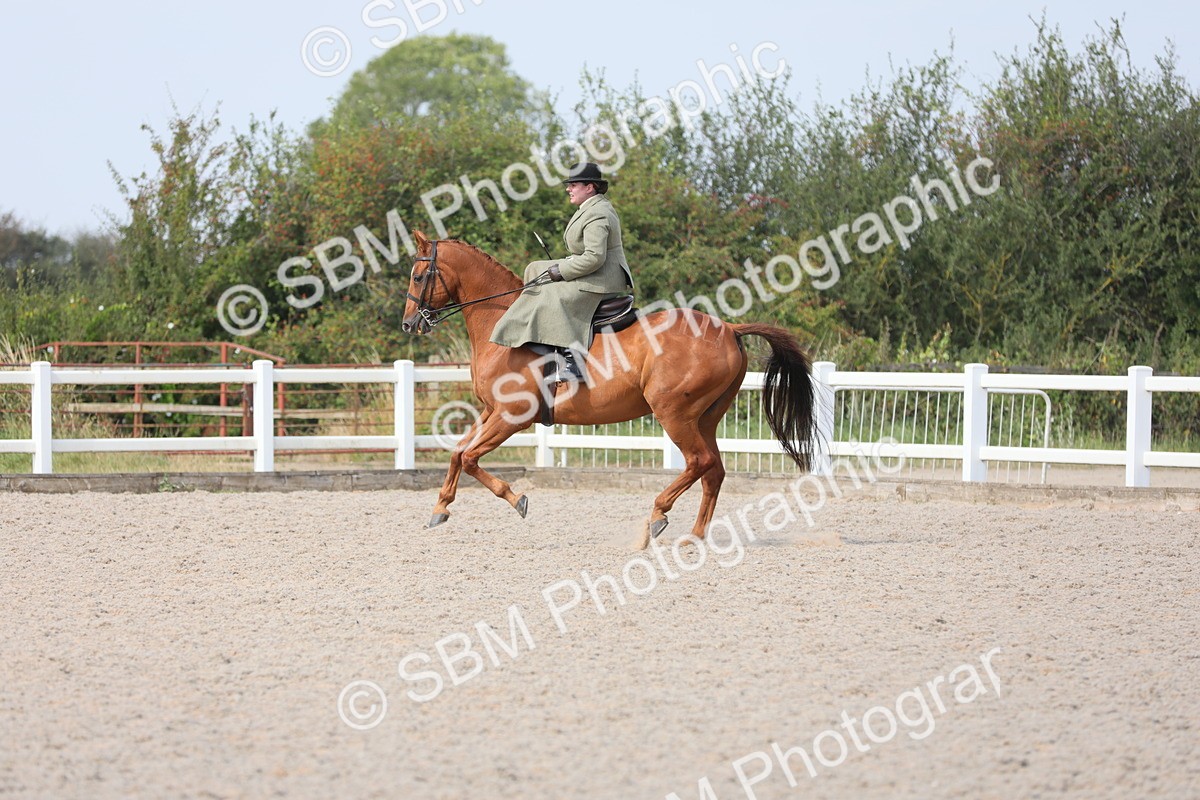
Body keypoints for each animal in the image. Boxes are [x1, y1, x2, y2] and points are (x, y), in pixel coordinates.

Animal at [400, 230, 818, 549]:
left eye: (419, 277)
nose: (409, 325)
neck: (502, 325)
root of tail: (729, 328)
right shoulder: (490, 411)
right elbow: (458, 453)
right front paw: (440, 509)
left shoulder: (510, 417)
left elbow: (471, 458)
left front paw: (517, 499)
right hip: (706, 418)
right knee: (713, 470)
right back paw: (695, 537)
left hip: (674, 414)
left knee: (698, 463)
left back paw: (656, 517)